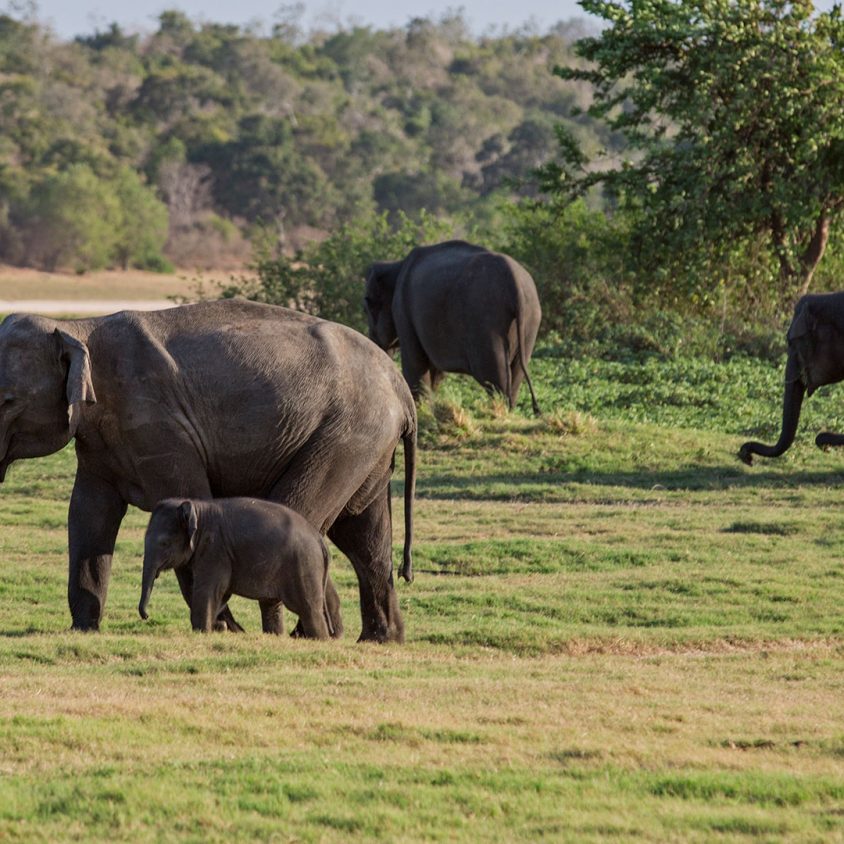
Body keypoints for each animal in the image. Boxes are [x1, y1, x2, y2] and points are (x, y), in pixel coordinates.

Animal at [138, 494, 332, 640]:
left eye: (164, 543)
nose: (146, 616)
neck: (198, 509)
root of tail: (319, 540)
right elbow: (221, 593)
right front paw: (217, 626)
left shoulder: (215, 549)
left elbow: (210, 589)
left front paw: (203, 631)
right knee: (272, 606)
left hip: (304, 566)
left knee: (309, 610)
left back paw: (320, 640)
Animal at [366, 239, 544, 414]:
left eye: (368, 302)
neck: (397, 265)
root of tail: (515, 283)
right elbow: (434, 367)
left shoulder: (403, 310)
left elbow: (415, 360)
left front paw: (422, 409)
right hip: (531, 319)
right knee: (517, 371)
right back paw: (510, 410)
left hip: (487, 320)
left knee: (493, 373)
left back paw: (500, 411)